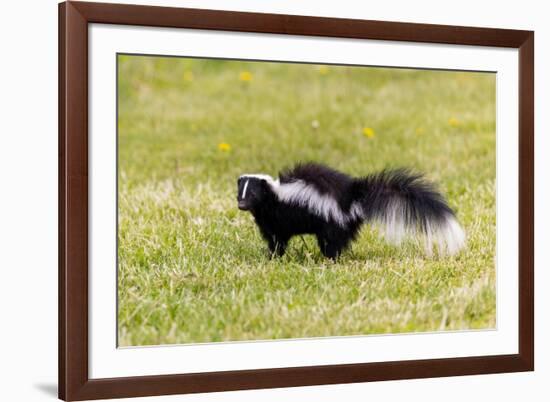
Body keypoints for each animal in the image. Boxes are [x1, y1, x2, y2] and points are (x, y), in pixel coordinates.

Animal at [237, 163, 466, 260]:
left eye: (253, 195)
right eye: (240, 193)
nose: (241, 206)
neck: (274, 195)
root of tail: (352, 197)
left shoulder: (277, 218)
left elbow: (278, 240)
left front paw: (273, 256)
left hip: (332, 220)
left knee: (332, 243)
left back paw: (329, 260)